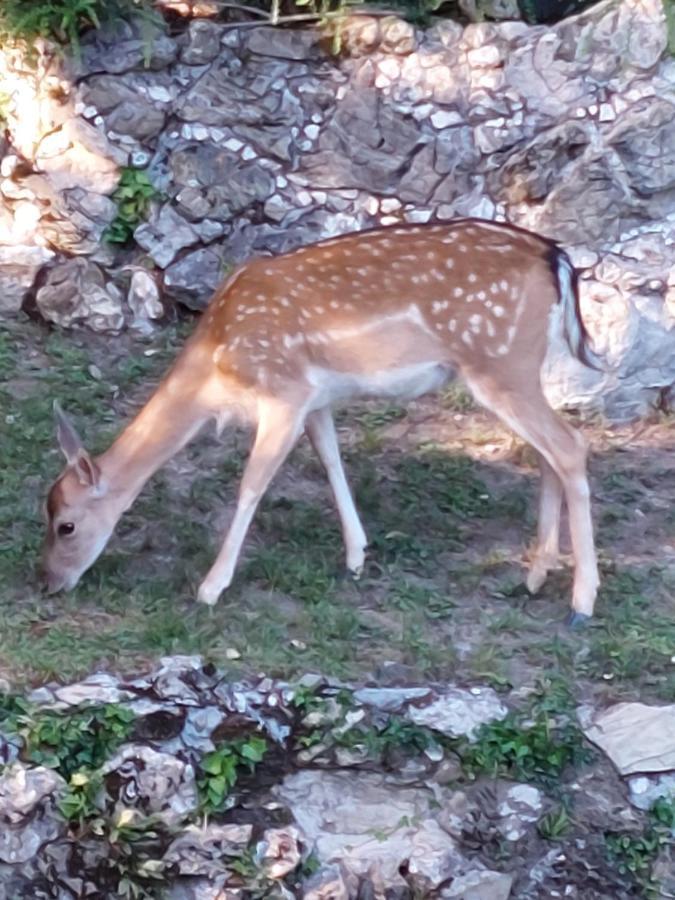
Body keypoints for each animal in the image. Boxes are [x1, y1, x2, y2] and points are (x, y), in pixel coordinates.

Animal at [42, 218, 604, 624]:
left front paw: (210, 586)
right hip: (516, 369)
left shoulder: (284, 392)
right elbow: (331, 460)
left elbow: (252, 484)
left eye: (66, 525)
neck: (215, 369)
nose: (49, 582)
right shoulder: (317, 399)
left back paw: (582, 601)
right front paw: (357, 555)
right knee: (548, 451)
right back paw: (536, 575)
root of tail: (556, 259)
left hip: (499, 363)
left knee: (570, 445)